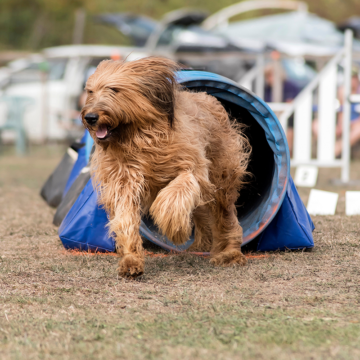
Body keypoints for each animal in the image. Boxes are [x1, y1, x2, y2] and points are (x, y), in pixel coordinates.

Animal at [81, 57, 250, 278]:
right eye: (90, 91)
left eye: (114, 90)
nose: (90, 117)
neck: (137, 138)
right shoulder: (124, 180)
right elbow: (126, 217)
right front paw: (131, 260)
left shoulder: (192, 167)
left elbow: (175, 195)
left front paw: (175, 229)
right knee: (203, 214)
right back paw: (200, 246)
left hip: (222, 176)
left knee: (225, 214)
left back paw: (229, 253)